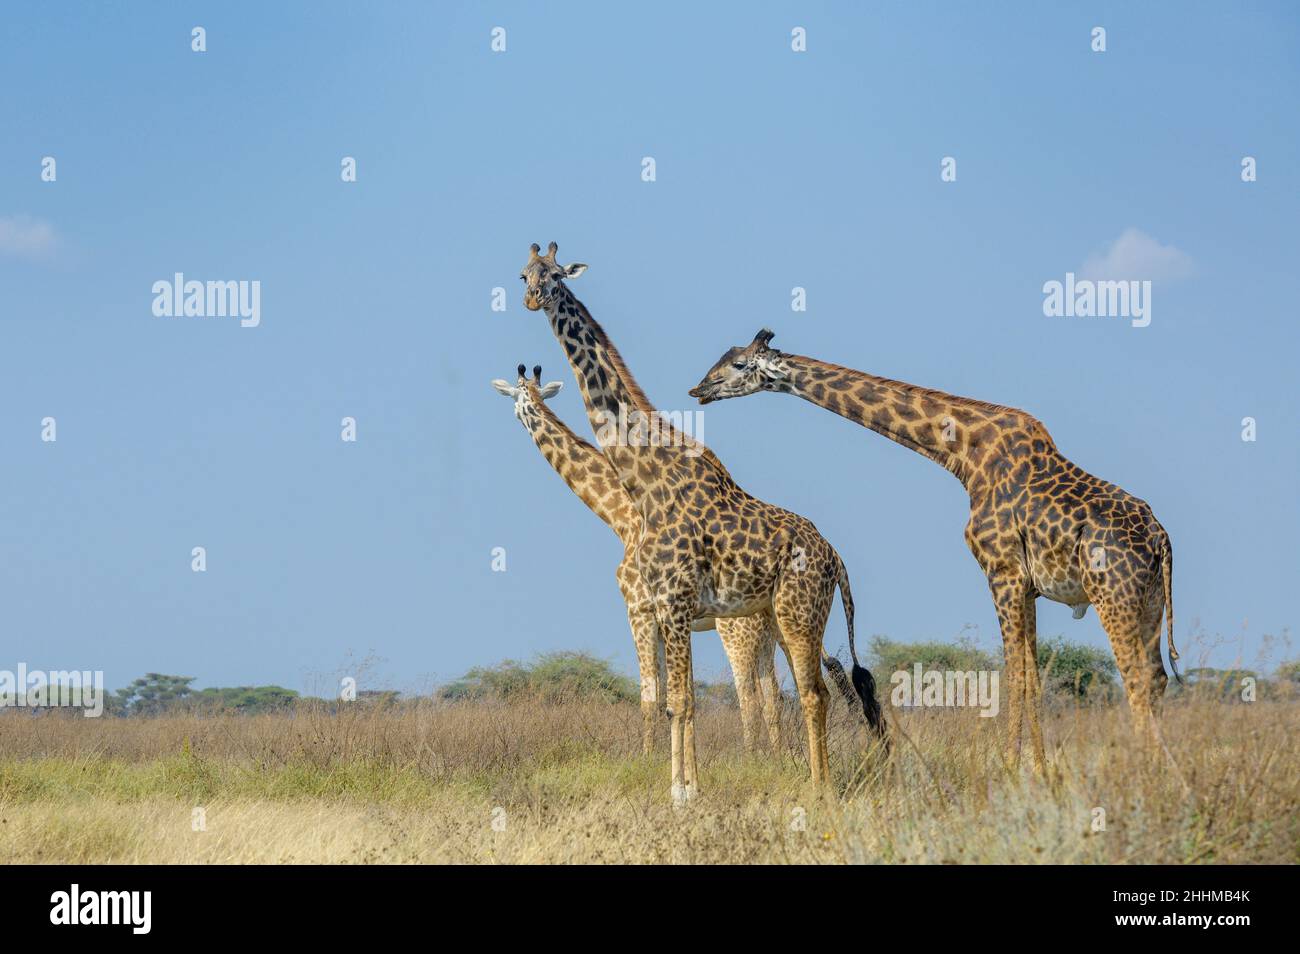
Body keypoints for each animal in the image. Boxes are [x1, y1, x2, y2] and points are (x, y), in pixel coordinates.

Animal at [488, 363, 780, 753]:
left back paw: (752, 757)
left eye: (521, 397)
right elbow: (681, 696)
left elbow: (650, 697)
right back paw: (780, 758)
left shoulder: (639, 610)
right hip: (767, 630)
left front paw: (648, 758)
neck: (621, 517)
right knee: (774, 697)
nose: (525, 414)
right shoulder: (668, 619)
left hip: (736, 628)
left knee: (748, 698)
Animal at [696, 327, 1185, 769]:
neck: (966, 456)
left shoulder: (1002, 571)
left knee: (1136, 678)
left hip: (1112, 594)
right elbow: (1033, 676)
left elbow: (1015, 676)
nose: (699, 389)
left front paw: (1013, 773)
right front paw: (1044, 776)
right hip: (1148, 602)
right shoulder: (1026, 585)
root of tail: (1162, 540)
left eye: (739, 364)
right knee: (1157, 677)